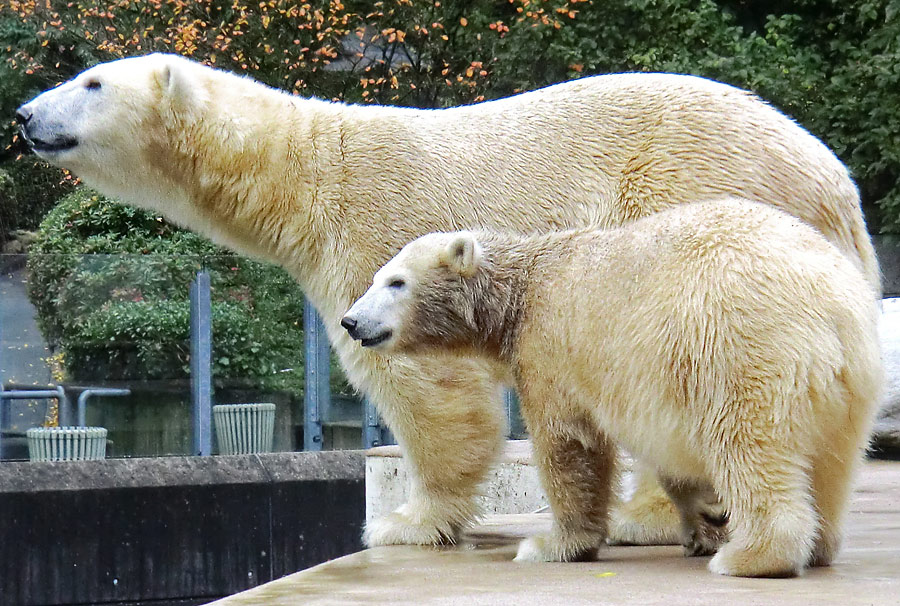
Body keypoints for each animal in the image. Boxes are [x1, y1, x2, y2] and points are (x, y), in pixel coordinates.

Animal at [342, 200, 884, 580]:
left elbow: (570, 445)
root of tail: (831, 304)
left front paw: (552, 546)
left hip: (741, 348)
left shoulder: (554, 347)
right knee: (832, 463)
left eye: (395, 282)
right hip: (850, 383)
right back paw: (818, 545)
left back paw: (751, 556)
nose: (351, 321)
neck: (523, 290)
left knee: (748, 446)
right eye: (378, 277)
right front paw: (701, 521)